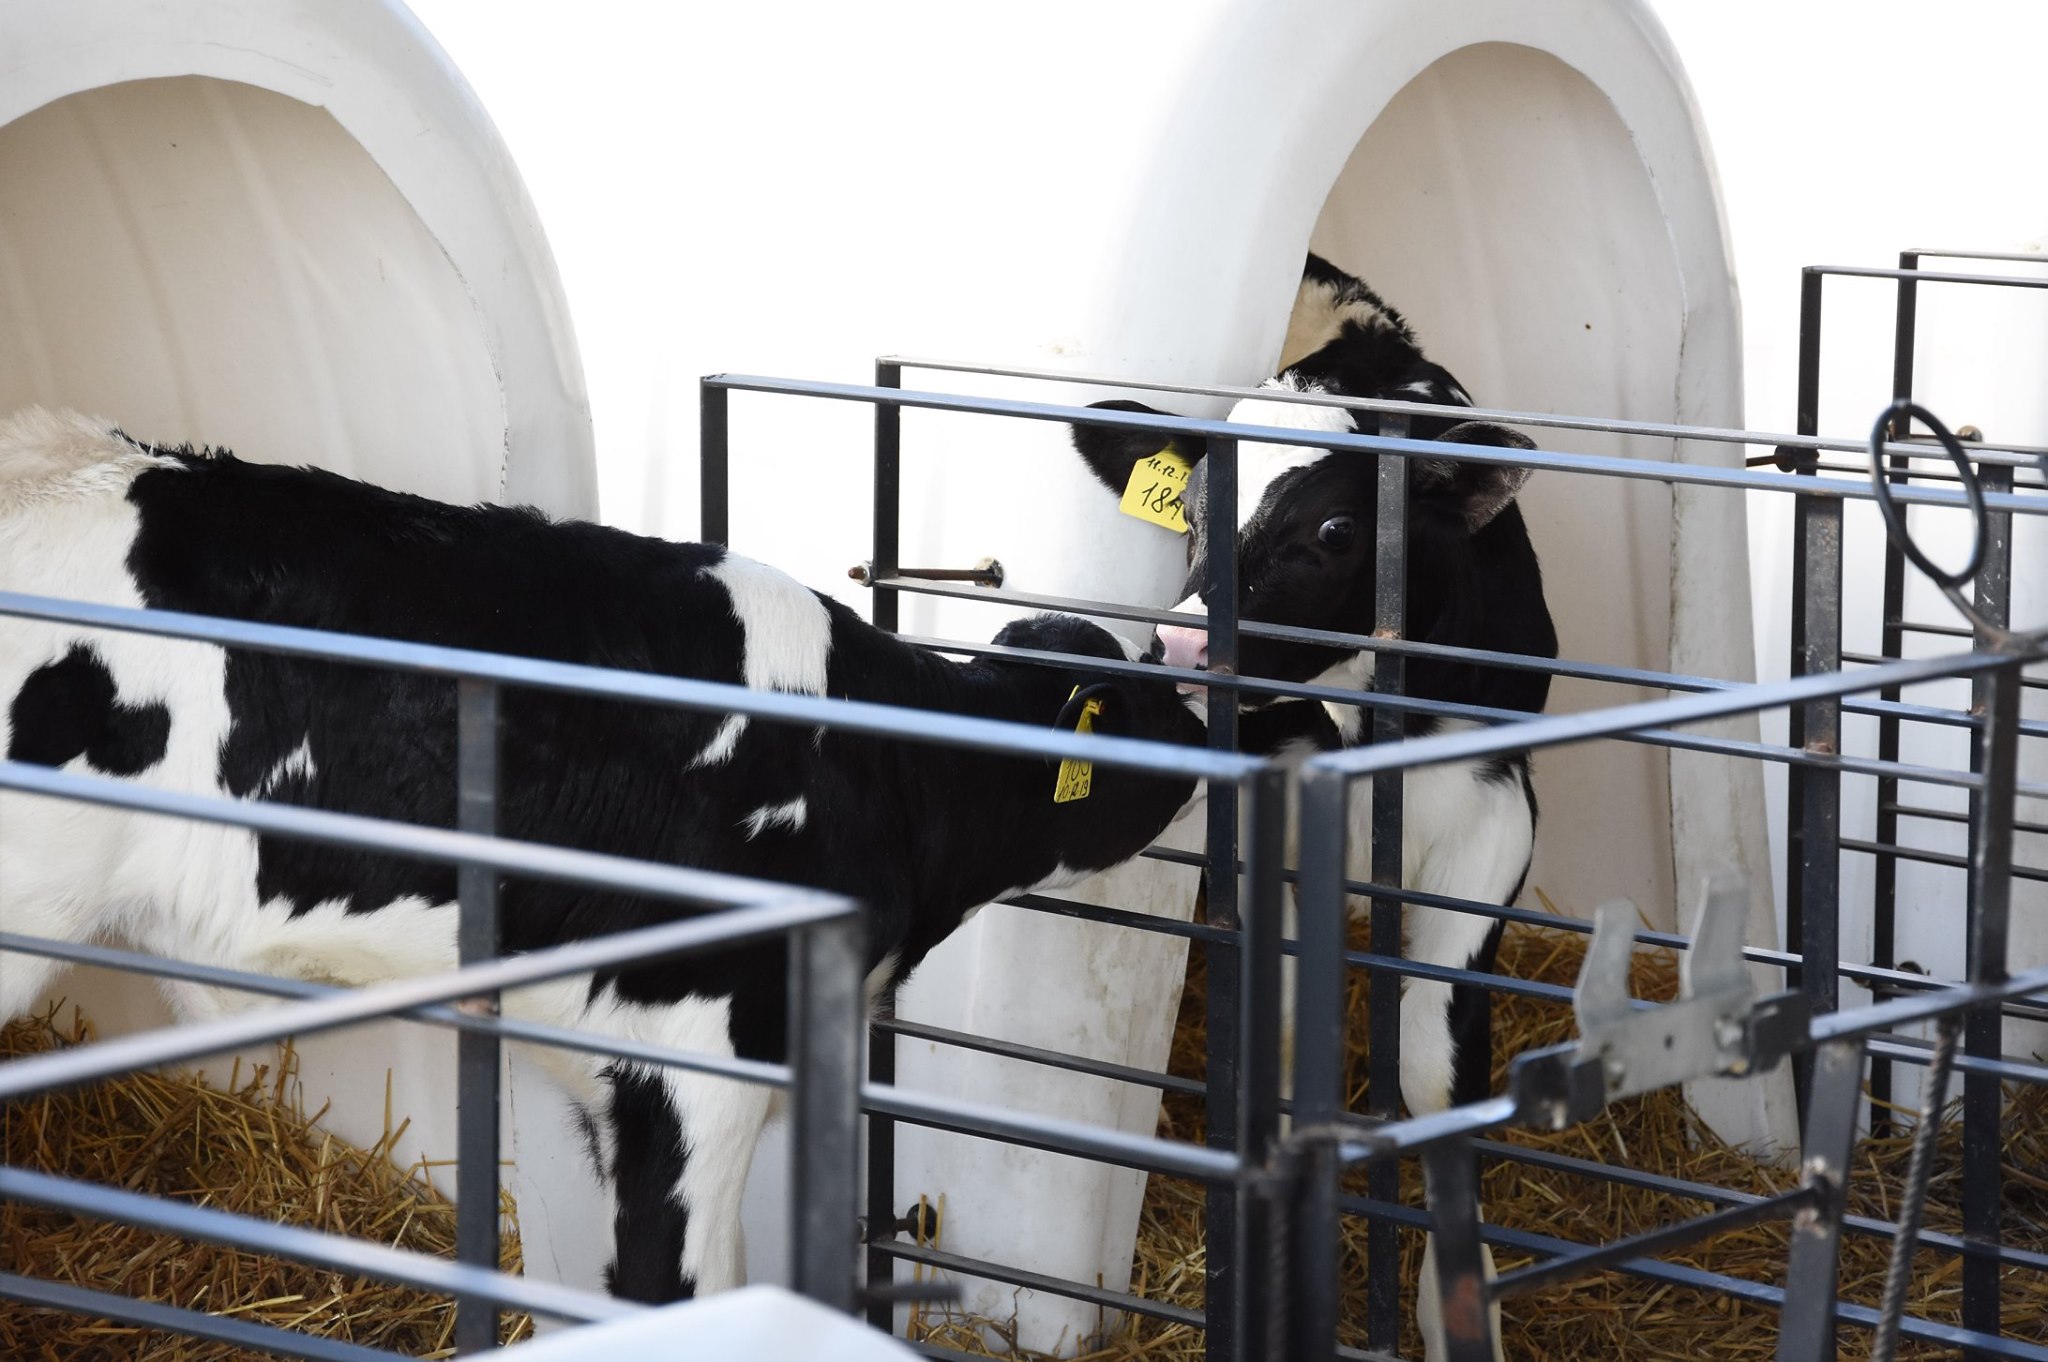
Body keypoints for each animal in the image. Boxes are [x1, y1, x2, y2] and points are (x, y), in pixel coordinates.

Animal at [1069, 254, 1557, 1362]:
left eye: (1335, 529)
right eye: (1190, 511)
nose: (1182, 645)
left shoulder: (1497, 806)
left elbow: (1431, 1067)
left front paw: (1456, 1311)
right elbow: (1288, 1036)